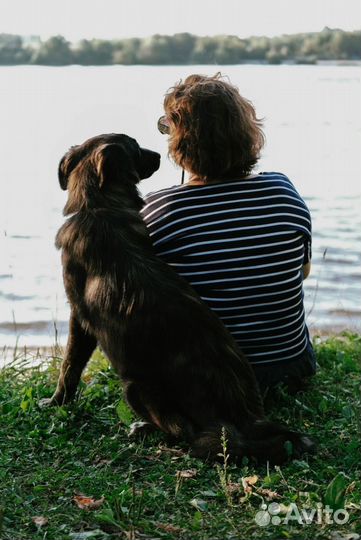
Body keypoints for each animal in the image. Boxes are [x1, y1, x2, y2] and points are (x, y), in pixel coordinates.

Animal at [41, 132, 312, 464]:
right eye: (136, 148)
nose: (160, 155)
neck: (99, 208)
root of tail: (245, 416)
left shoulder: (80, 318)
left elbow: (69, 367)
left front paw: (56, 403)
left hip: (135, 386)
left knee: (182, 431)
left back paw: (143, 429)